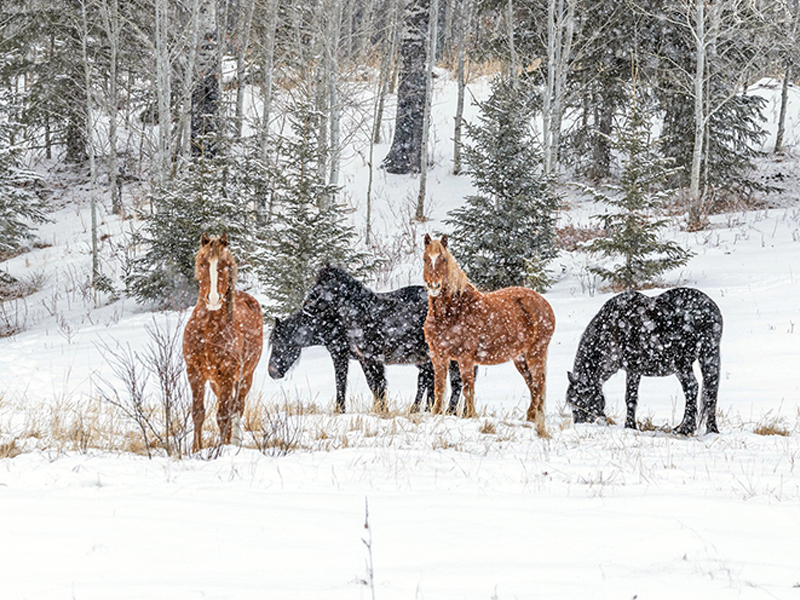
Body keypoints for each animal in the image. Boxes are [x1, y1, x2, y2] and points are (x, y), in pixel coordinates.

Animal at [183, 233, 263, 451]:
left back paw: (233, 442)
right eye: (203, 263)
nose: (213, 298)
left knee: (237, 409)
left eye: (225, 265)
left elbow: (223, 416)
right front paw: (196, 449)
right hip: (215, 382)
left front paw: (220, 450)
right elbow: (198, 412)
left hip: (245, 377)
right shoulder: (195, 372)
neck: (208, 330)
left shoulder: (227, 374)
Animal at [268, 266, 463, 414]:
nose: (272, 372)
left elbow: (352, 383)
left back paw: (447, 412)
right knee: (430, 380)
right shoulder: (363, 359)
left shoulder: (348, 355)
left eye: (280, 343)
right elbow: (373, 386)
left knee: (453, 382)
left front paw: (343, 410)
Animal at [422, 234, 555, 436]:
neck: (452, 312)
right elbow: (439, 388)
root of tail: (544, 303)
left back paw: (533, 418)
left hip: (535, 354)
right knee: (533, 384)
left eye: (443, 260)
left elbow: (468, 388)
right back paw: (533, 416)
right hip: (520, 358)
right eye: (425, 259)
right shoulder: (438, 356)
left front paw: (471, 416)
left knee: (538, 384)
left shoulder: (465, 358)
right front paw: (436, 414)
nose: (434, 286)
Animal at [566, 287, 722, 435]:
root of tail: (709, 310)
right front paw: (630, 426)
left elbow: (630, 397)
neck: (610, 328)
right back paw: (708, 428)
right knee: (710, 392)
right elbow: (631, 397)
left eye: (580, 400)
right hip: (708, 357)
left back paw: (685, 429)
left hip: (682, 364)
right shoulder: (633, 370)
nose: (580, 424)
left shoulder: (632, 368)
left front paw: (629, 426)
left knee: (692, 388)